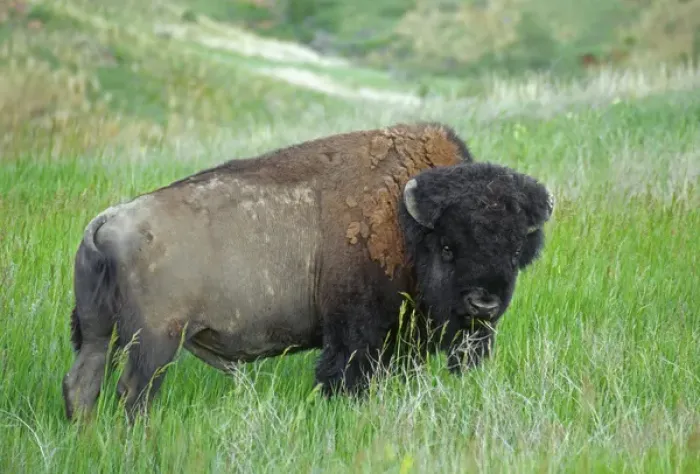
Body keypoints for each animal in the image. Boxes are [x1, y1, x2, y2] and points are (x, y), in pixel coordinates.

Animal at [62, 122, 554, 420]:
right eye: (449, 247)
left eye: (515, 250)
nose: (483, 303)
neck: (405, 221)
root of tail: (106, 221)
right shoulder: (357, 333)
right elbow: (345, 375)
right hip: (155, 341)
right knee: (134, 392)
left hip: (99, 332)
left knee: (81, 383)